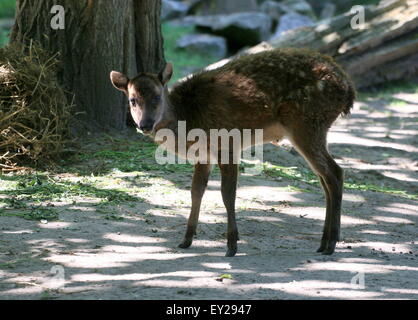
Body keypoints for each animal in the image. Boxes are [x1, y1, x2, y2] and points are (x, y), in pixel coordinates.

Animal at [109, 47, 354, 258]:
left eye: (157, 97)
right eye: (132, 100)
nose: (145, 125)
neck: (187, 118)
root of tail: (348, 90)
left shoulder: (226, 144)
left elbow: (227, 194)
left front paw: (232, 245)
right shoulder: (203, 155)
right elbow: (195, 192)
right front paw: (186, 240)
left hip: (306, 122)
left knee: (334, 173)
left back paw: (331, 244)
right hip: (312, 128)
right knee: (325, 177)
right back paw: (323, 242)